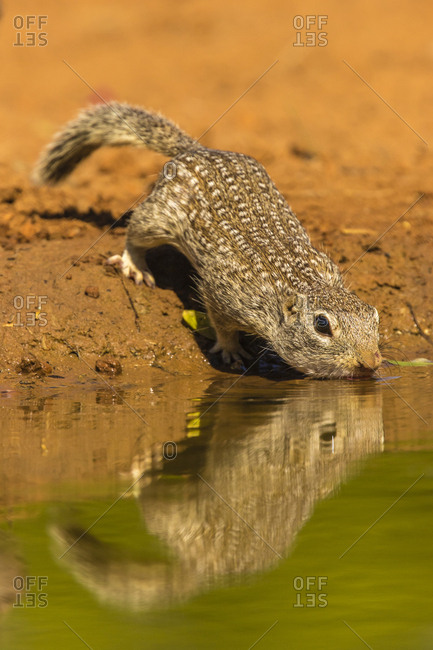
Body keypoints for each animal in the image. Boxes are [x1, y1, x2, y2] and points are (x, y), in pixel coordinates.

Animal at [34, 102, 382, 378]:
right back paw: (135, 264)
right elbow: (221, 323)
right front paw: (231, 350)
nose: (370, 362)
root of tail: (197, 149)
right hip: (159, 218)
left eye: (374, 318)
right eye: (322, 326)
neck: (295, 283)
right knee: (136, 229)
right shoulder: (223, 292)